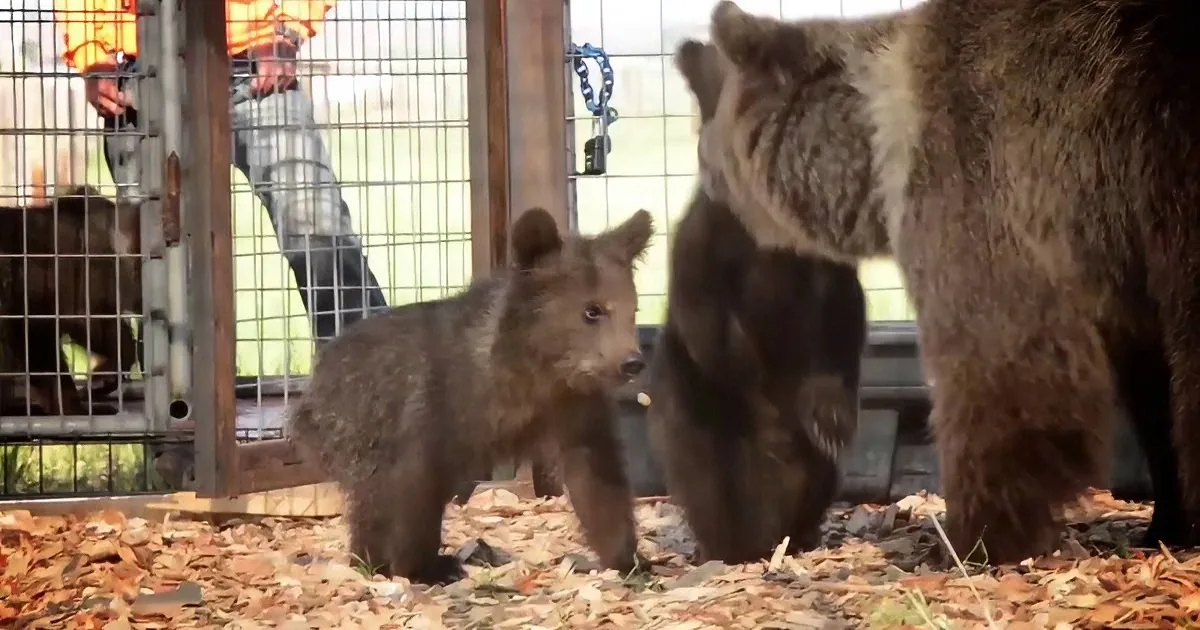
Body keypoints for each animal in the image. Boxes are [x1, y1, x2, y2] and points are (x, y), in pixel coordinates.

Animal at [287, 206, 656, 585]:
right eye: (592, 311)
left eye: (633, 309)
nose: (632, 362)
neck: (533, 372)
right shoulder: (430, 414)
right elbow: (410, 497)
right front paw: (421, 567)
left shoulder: (574, 409)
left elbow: (597, 479)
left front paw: (628, 559)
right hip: (353, 426)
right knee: (373, 500)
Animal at [644, 39, 867, 564]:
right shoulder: (701, 261)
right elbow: (708, 321)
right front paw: (749, 373)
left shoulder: (830, 278)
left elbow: (843, 327)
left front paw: (831, 418)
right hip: (698, 441)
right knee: (712, 484)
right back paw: (732, 548)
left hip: (817, 475)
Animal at [691, 0, 1200, 564]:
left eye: (703, 143)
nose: (703, 177)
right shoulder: (1119, 268)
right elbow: (1151, 388)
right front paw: (1166, 523)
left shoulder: (982, 180)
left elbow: (1002, 369)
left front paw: (976, 537)